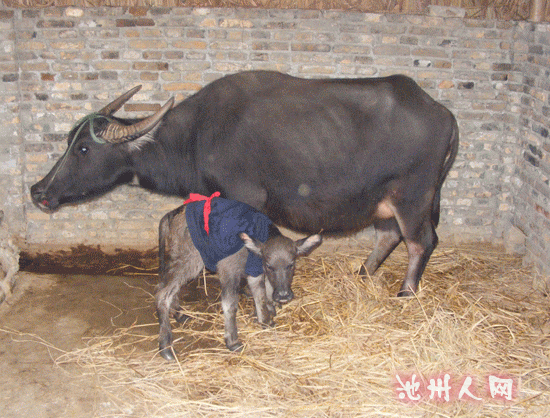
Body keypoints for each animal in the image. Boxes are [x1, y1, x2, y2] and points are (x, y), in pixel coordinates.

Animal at [31, 70, 462, 296]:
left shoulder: (246, 198)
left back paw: (406, 291)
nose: (38, 191)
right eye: (68, 140)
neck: (197, 135)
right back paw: (362, 274)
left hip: (413, 196)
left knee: (421, 241)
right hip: (384, 199)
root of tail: (442, 113)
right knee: (389, 235)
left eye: (83, 148)